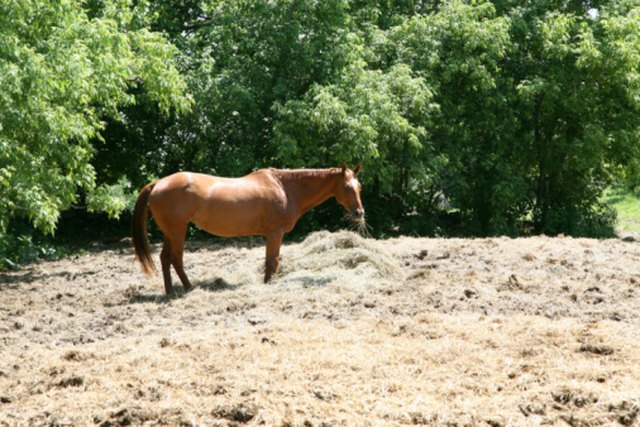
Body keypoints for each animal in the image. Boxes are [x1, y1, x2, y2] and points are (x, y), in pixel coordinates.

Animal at [132, 164, 362, 294]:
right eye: (346, 187)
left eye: (359, 186)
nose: (360, 213)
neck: (284, 187)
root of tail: (158, 183)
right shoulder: (275, 233)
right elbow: (271, 261)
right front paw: (267, 284)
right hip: (178, 231)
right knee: (176, 259)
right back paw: (189, 288)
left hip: (170, 233)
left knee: (164, 258)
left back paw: (170, 290)